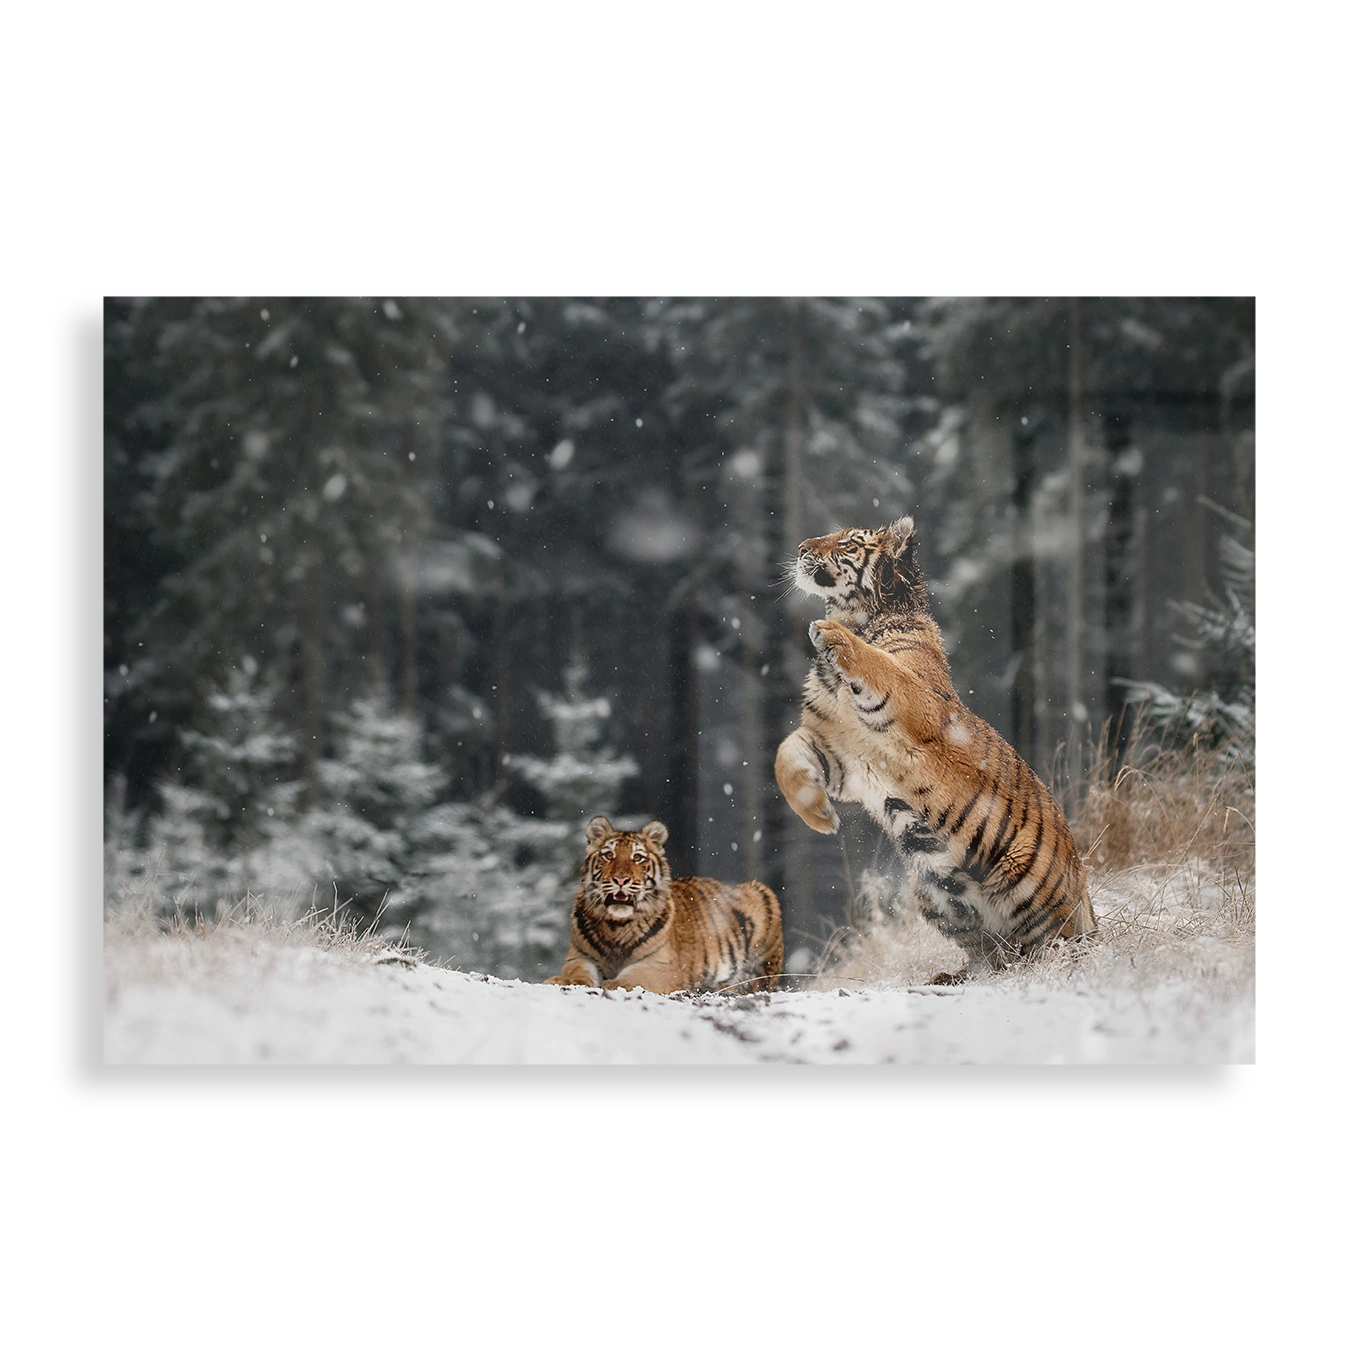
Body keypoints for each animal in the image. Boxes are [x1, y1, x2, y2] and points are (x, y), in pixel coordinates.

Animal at [544, 816, 784, 994]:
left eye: (638, 858)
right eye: (608, 855)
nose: (621, 880)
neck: (616, 926)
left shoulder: (663, 966)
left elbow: (635, 975)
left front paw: (614, 983)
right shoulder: (579, 957)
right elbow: (576, 971)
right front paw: (563, 980)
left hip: (762, 896)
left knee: (756, 982)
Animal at [774, 515, 1097, 983]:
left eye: (849, 543)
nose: (801, 547)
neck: (860, 615)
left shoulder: (915, 702)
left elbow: (878, 663)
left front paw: (831, 634)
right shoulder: (839, 753)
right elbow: (786, 754)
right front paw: (819, 816)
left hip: (1022, 876)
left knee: (1058, 944)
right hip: (931, 889)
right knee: (992, 951)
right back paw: (957, 975)